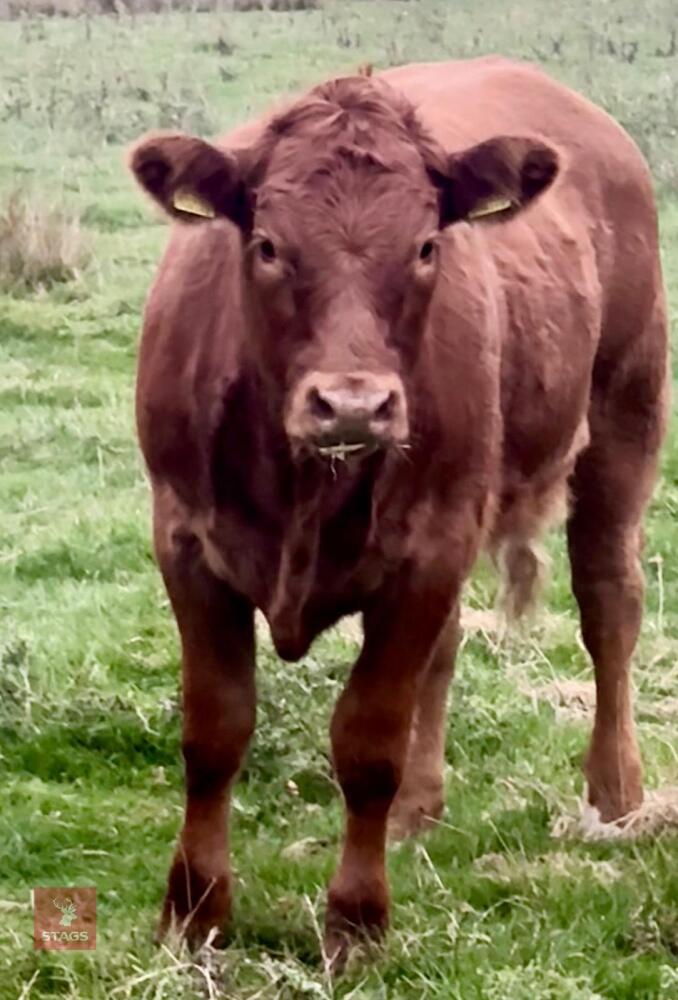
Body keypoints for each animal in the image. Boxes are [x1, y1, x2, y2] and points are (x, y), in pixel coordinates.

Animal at [128, 57, 668, 965]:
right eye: (267, 245)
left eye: (424, 247)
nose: (353, 406)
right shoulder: (187, 542)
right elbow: (214, 731)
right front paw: (194, 910)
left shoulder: (430, 552)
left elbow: (368, 739)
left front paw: (357, 920)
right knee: (447, 653)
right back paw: (420, 806)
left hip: (625, 420)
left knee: (609, 606)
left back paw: (615, 793)